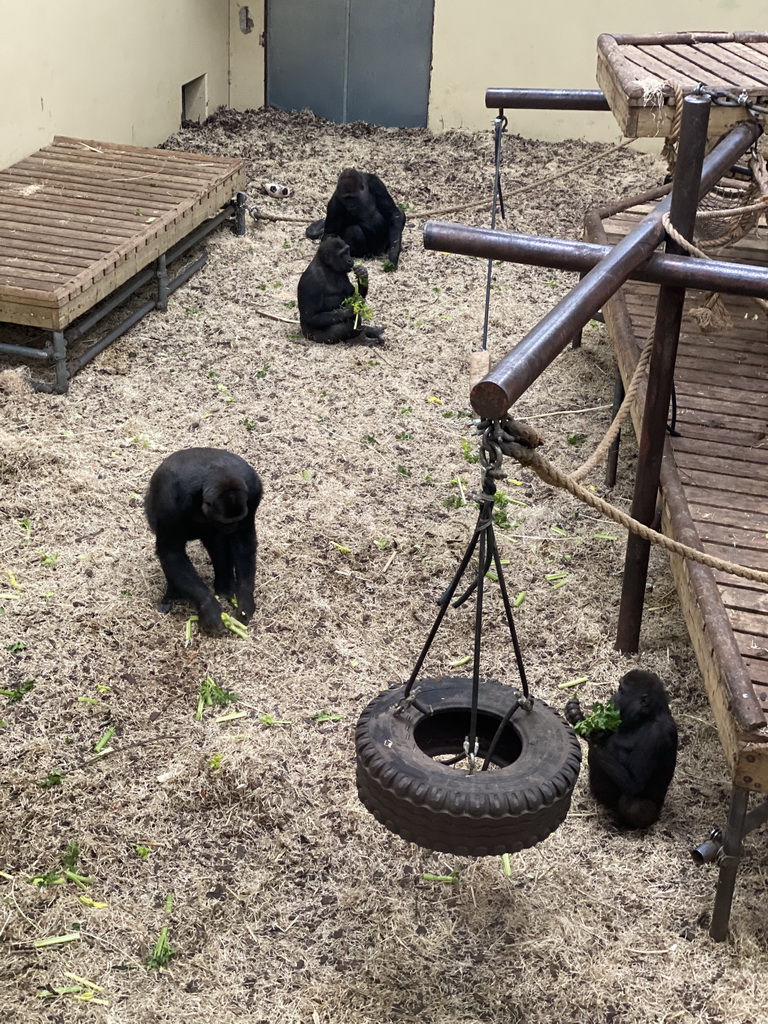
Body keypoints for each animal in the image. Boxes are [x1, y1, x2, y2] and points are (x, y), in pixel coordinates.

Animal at [145, 446, 264, 630]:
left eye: (237, 520)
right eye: (225, 521)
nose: (231, 527)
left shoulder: (253, 492)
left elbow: (243, 542)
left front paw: (245, 600)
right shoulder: (169, 501)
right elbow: (171, 551)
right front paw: (209, 607)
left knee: (218, 544)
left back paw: (223, 588)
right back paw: (172, 594)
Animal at [565, 667, 679, 827]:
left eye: (621, 690)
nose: (613, 697)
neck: (647, 717)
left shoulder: (658, 733)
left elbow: (634, 783)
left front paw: (587, 733)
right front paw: (576, 715)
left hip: (655, 814)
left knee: (633, 805)